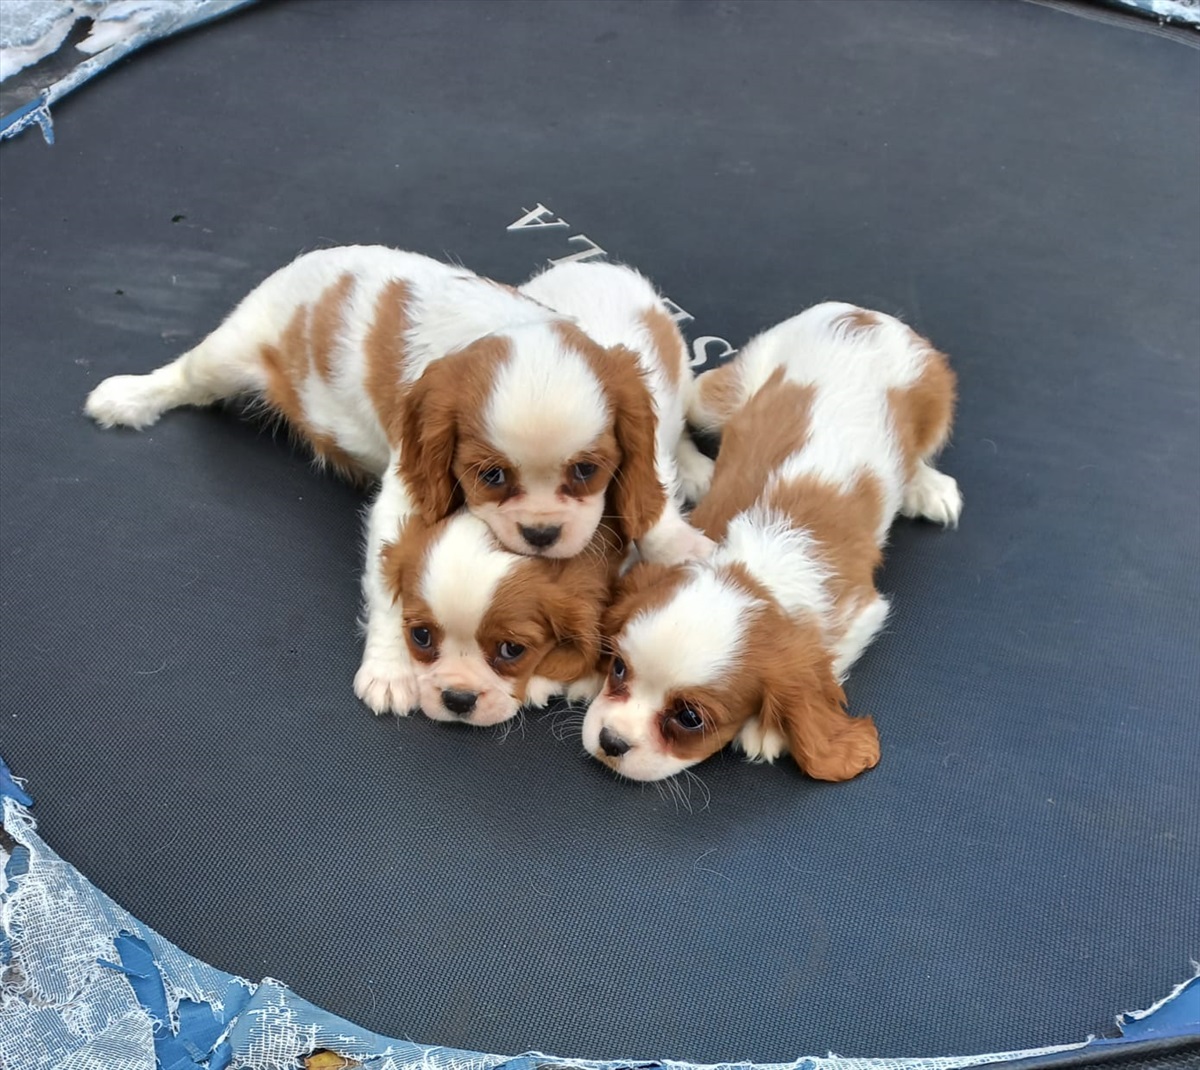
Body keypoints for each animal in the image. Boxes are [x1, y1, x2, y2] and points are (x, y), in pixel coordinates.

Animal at [84, 248, 700, 719]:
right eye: (491, 476)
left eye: (587, 471)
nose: (541, 535)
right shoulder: (410, 480)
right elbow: (391, 575)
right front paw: (389, 667)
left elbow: (655, 493)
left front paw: (678, 543)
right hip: (232, 352)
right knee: (184, 374)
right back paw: (127, 397)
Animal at [576, 304, 960, 782]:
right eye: (619, 668)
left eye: (689, 718)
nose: (611, 741)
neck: (756, 567)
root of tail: (864, 315)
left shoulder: (861, 611)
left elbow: (824, 659)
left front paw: (768, 729)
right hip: (716, 394)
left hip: (935, 405)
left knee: (919, 454)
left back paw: (927, 486)